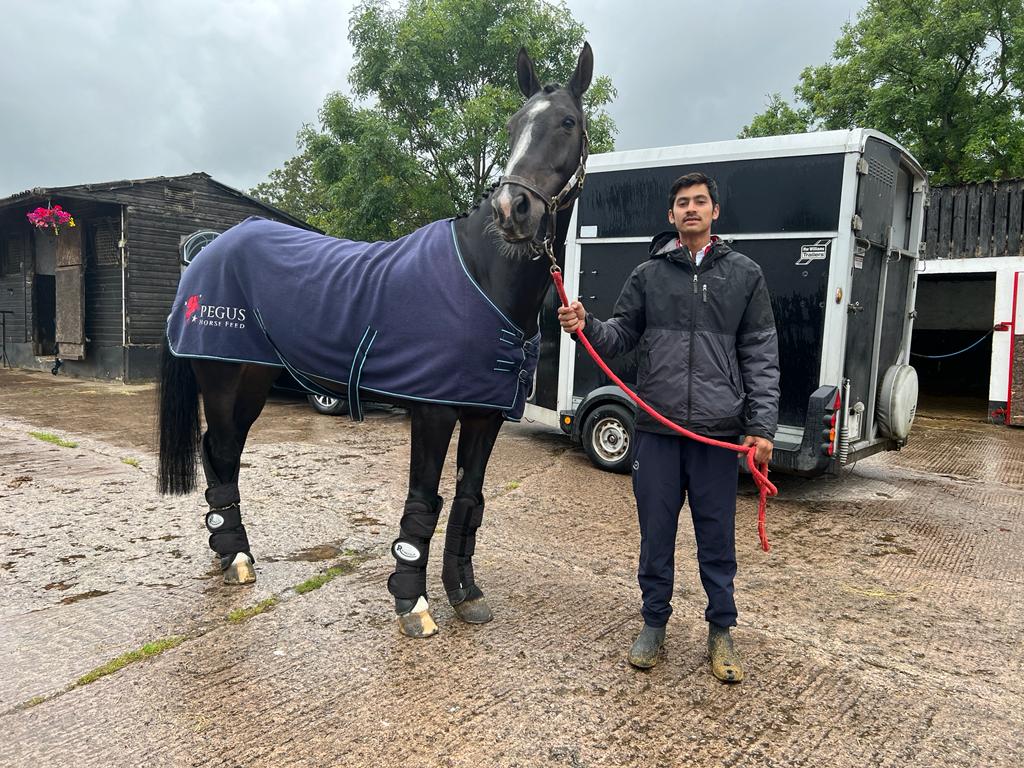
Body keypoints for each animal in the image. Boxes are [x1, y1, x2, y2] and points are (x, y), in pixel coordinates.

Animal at [157, 45, 593, 638]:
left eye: (567, 122)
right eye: (513, 124)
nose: (512, 211)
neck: (483, 277)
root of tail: (206, 249)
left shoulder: (486, 414)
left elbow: (469, 500)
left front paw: (466, 595)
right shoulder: (433, 411)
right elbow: (424, 501)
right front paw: (414, 604)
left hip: (251, 380)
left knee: (219, 453)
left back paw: (228, 554)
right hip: (221, 377)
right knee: (221, 453)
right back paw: (239, 559)